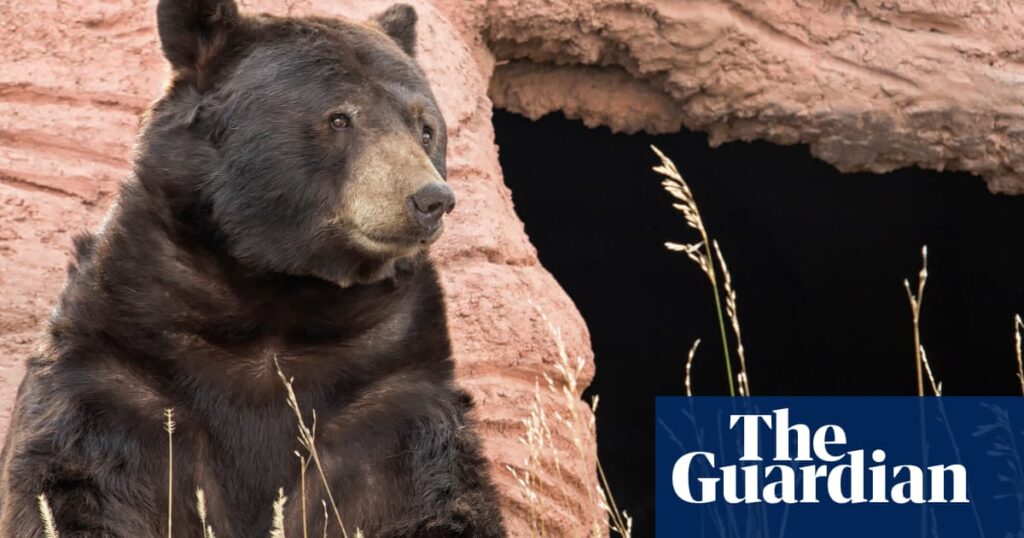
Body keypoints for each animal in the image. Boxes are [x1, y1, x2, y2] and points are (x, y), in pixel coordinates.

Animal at [0, 1, 507, 532]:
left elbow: (430, 494)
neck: (274, 294)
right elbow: (78, 485)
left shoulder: (389, 394)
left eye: (426, 129)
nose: (431, 199)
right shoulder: (120, 373)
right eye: (339, 118)